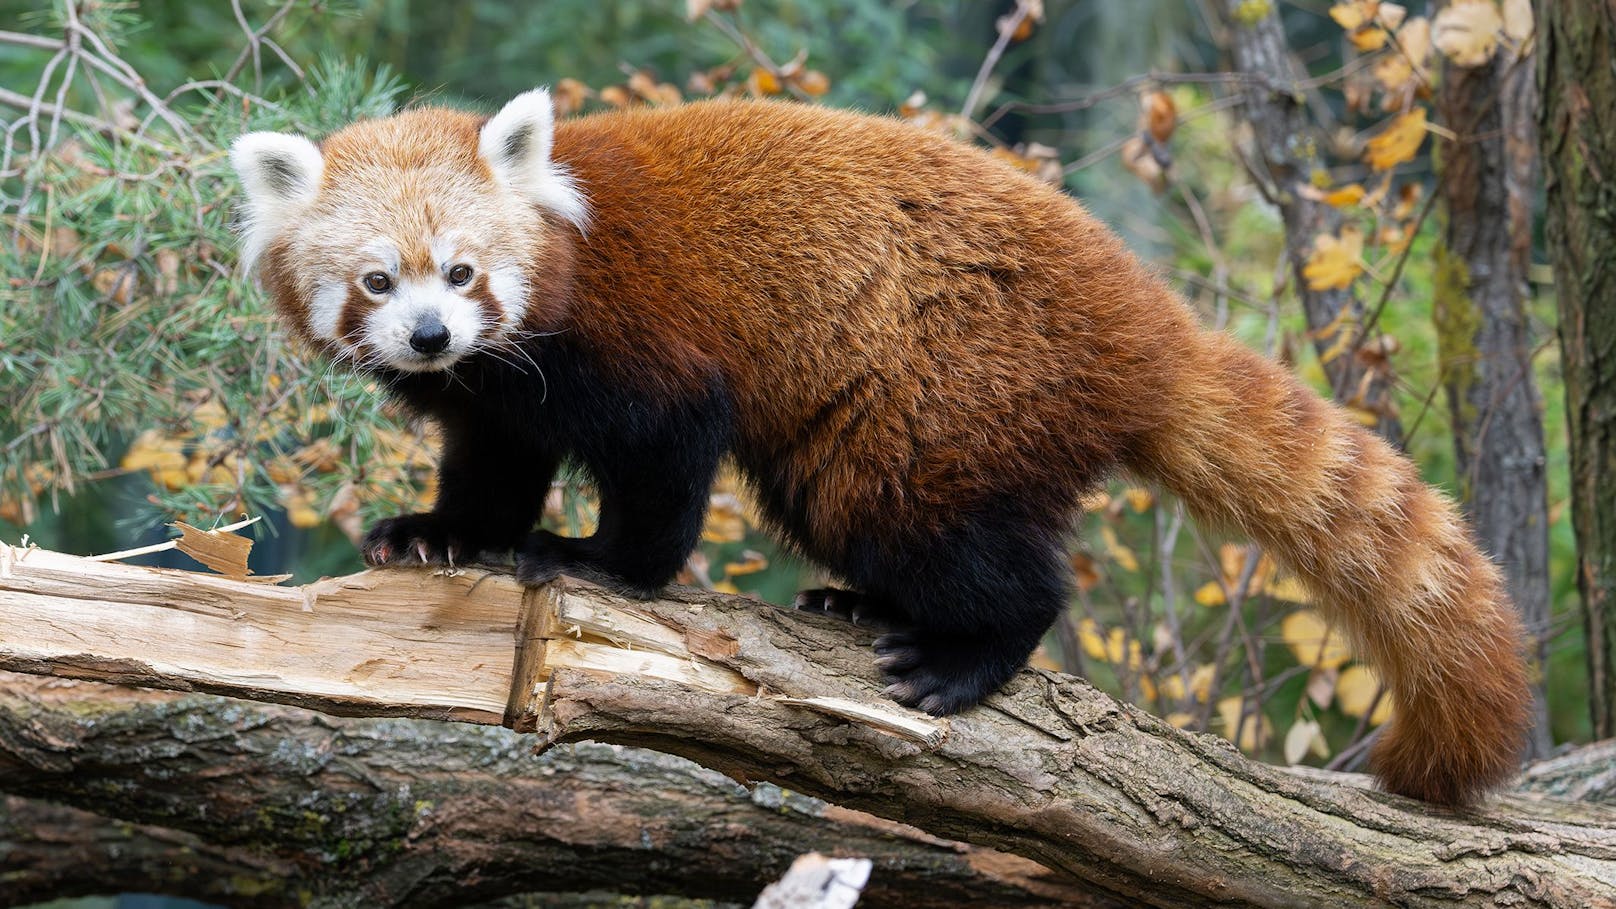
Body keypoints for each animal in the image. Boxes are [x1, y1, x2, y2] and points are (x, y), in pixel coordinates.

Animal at [227, 88, 1525, 802]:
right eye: (379, 282)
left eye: (461, 272)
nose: (431, 334)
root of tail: (1142, 328)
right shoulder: (498, 396)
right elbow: (492, 464)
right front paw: (440, 533)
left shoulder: (632, 338)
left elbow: (666, 457)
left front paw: (600, 564)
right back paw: (865, 608)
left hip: (939, 394)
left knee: (950, 537)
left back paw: (961, 652)